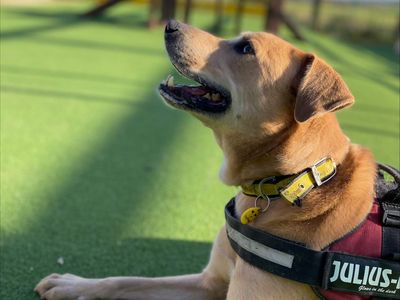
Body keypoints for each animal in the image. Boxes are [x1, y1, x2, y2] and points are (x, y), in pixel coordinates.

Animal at [34, 19, 378, 298]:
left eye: (245, 47)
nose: (170, 24)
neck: (293, 182)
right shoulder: (209, 282)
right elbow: (124, 280)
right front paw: (73, 284)